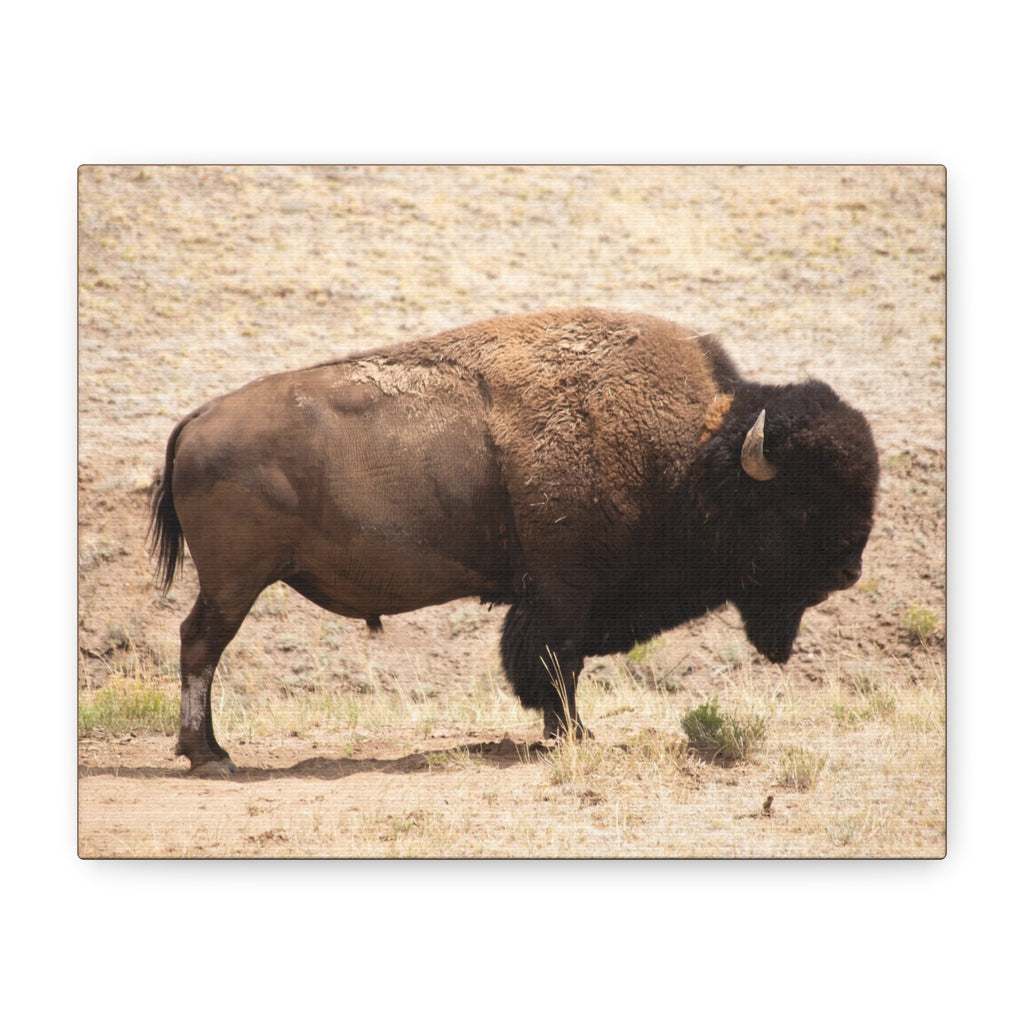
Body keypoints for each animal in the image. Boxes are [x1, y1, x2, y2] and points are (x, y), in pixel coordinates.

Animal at [150, 308, 879, 776]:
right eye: (802, 504)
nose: (850, 569)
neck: (694, 456)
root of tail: (197, 420)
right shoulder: (563, 592)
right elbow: (556, 664)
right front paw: (573, 735)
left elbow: (557, 666)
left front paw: (567, 733)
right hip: (235, 580)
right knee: (201, 644)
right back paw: (210, 756)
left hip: (233, 579)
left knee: (198, 643)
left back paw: (208, 751)